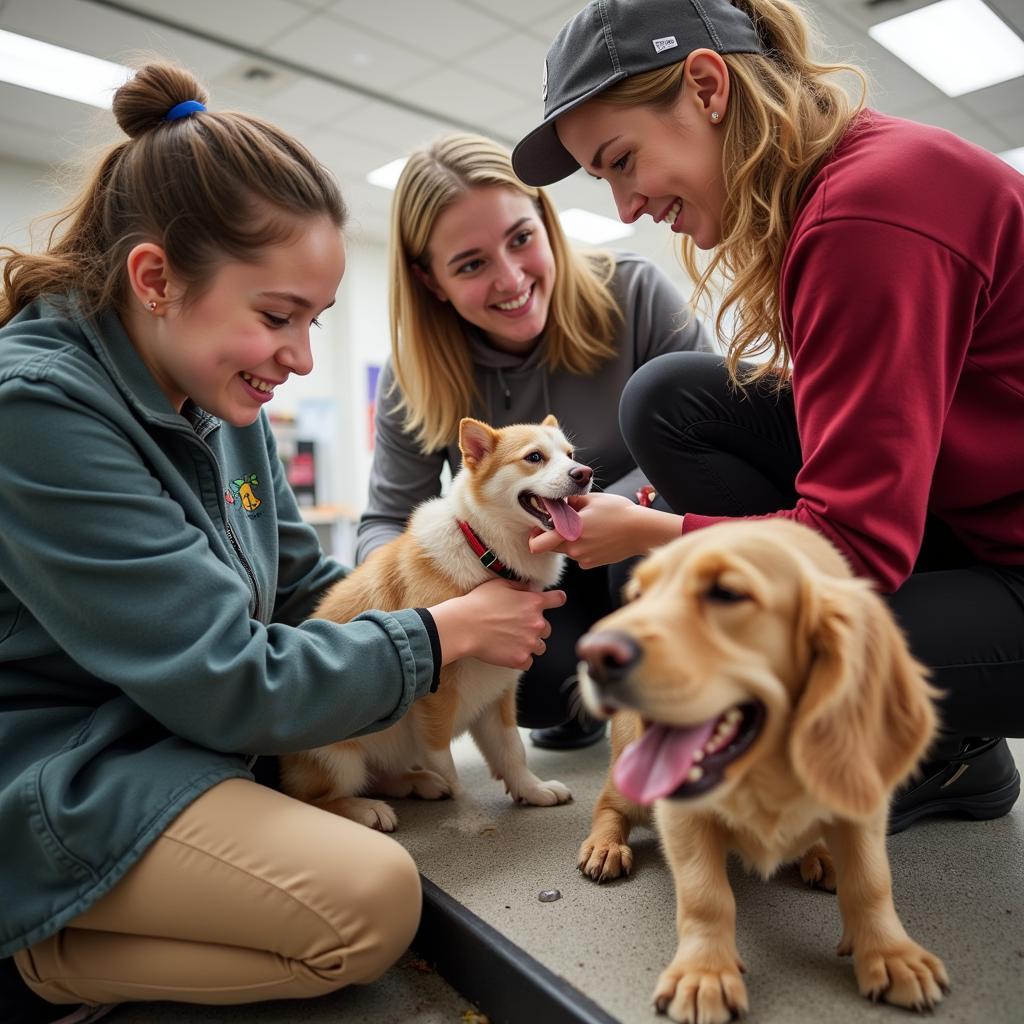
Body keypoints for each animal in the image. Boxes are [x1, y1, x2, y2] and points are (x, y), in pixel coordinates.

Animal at [280, 415, 593, 831]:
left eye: (570, 455)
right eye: (534, 457)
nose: (584, 474)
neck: (486, 553)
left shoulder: (499, 692)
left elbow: (511, 750)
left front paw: (531, 789)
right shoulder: (436, 689)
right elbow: (441, 752)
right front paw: (459, 793)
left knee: (379, 776)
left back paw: (415, 783)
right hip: (338, 759)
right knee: (314, 798)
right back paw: (366, 809)